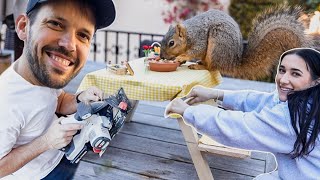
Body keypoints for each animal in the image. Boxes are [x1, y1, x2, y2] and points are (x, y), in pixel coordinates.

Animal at [159, 4, 314, 80]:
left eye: (171, 43)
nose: (161, 57)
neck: (189, 33)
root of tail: (233, 62)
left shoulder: (199, 38)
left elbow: (196, 50)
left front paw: (181, 57)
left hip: (218, 43)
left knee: (211, 67)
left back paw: (199, 66)